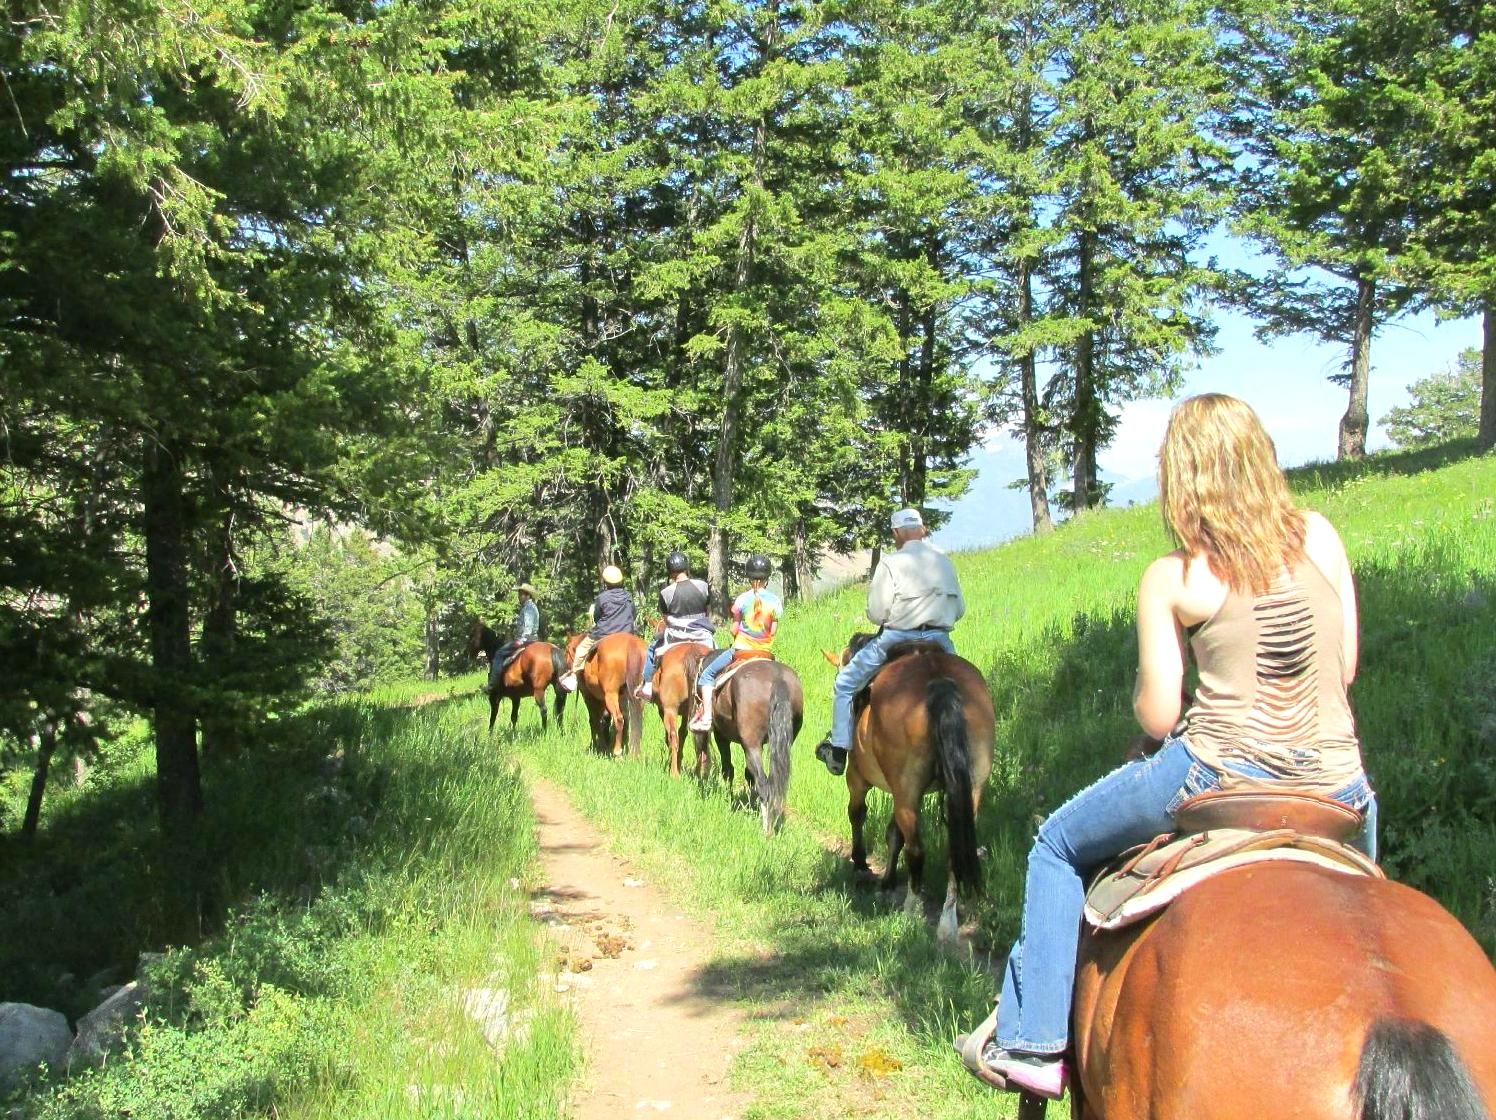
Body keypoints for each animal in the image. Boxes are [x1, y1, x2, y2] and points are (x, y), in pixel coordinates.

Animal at [562, 628, 646, 759]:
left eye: (566, 651)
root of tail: (631, 644)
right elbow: (605, 717)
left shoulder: (588, 695)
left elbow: (594, 719)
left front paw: (597, 745)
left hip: (610, 695)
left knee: (618, 719)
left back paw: (617, 752)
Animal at [649, 642, 712, 771]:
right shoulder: (686, 713)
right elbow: (683, 733)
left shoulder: (663, 710)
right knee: (702, 737)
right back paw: (699, 772)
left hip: (670, 709)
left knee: (673, 736)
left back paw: (674, 771)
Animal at [691, 654, 807, 831]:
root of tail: (778, 681)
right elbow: (748, 775)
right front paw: (750, 805)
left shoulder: (721, 735)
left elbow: (728, 770)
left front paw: (729, 797)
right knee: (770, 780)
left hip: (751, 744)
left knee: (763, 784)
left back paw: (766, 829)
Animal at [831, 634, 993, 939]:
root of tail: (939, 680)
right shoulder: (899, 791)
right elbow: (894, 834)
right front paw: (887, 880)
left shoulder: (858, 777)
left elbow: (857, 813)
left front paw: (861, 864)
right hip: (968, 789)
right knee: (953, 852)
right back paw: (947, 924)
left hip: (905, 787)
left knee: (916, 850)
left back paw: (911, 913)